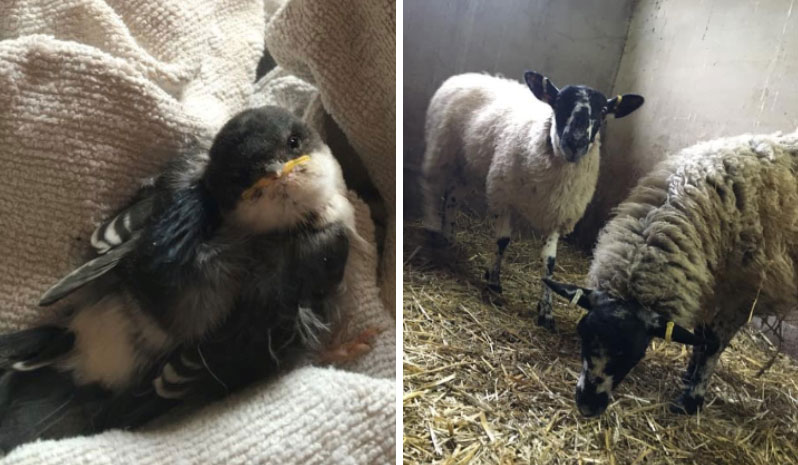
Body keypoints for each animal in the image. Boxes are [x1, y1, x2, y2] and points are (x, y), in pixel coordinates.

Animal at [422, 70, 648, 328]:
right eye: (558, 103)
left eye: (602, 111)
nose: (575, 142)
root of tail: (465, 75)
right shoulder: (503, 195)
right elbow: (502, 241)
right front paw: (494, 281)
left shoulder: (559, 212)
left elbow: (549, 261)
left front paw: (546, 310)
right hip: (441, 148)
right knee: (431, 185)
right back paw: (432, 227)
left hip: (467, 165)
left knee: (451, 197)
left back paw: (448, 235)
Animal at [548, 129, 798, 416]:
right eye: (583, 334)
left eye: (636, 352)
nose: (587, 405)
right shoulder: (711, 286)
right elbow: (700, 339)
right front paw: (689, 377)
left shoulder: (741, 296)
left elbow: (712, 344)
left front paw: (691, 400)